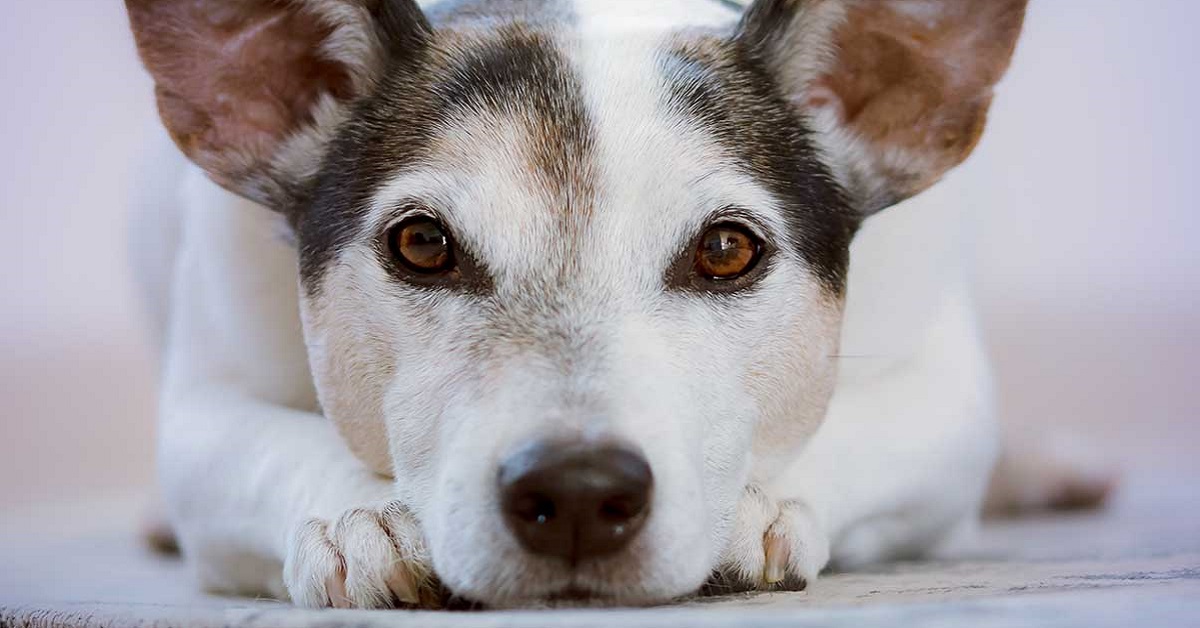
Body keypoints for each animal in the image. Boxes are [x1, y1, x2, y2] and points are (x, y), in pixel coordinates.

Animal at [121, 0, 1104, 612]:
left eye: (726, 250)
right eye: (422, 244)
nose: (579, 492)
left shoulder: (945, 394)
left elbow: (863, 429)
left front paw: (756, 508)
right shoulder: (204, 403)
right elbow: (263, 444)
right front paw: (358, 520)